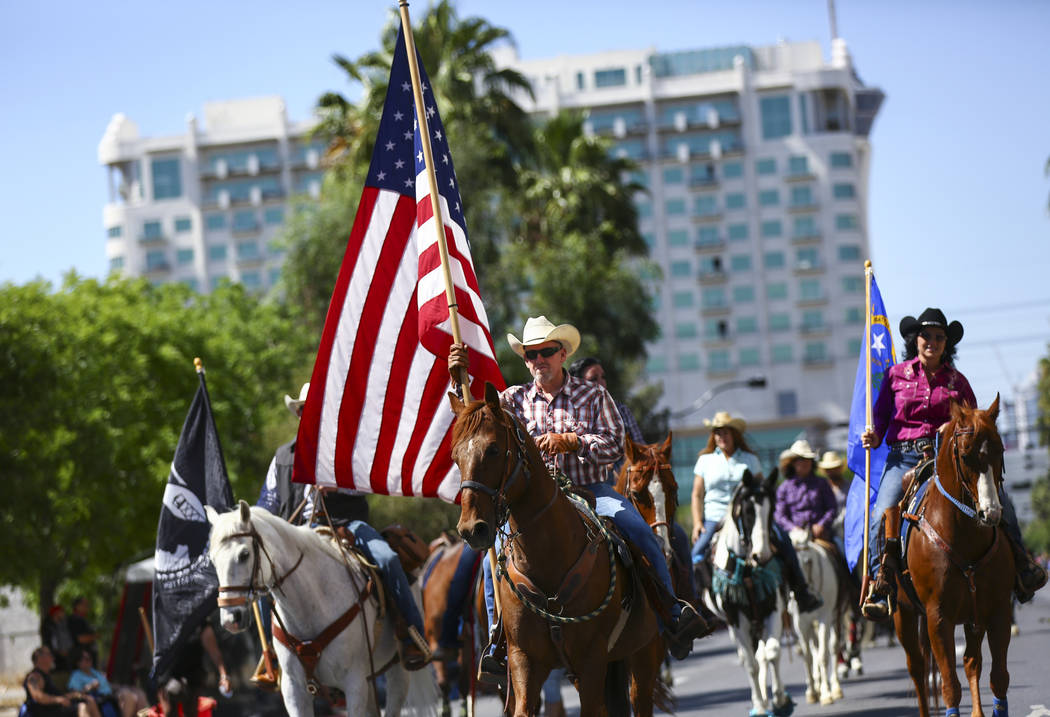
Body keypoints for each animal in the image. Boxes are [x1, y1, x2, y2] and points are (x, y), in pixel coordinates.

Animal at [204, 501, 438, 713]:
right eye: (213, 560)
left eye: (244, 554)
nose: (231, 619)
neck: (310, 606)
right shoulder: (294, 690)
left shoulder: (354, 683)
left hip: (397, 669)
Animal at [451, 386, 663, 717]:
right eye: (455, 456)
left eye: (494, 449)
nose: (472, 529)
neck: (548, 557)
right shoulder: (524, 660)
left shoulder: (591, 660)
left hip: (643, 652)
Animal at [701, 470, 789, 717]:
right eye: (748, 511)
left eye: (772, 509)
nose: (763, 555)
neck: (748, 569)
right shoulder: (736, 619)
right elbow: (751, 664)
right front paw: (759, 705)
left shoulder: (773, 608)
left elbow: (772, 652)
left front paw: (780, 699)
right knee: (748, 658)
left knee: (763, 652)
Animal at [789, 526, 844, 705]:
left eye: (808, 562)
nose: (797, 593)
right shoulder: (800, 623)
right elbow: (808, 657)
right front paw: (812, 692)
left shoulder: (824, 619)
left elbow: (823, 656)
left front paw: (826, 694)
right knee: (814, 649)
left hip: (836, 616)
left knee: (833, 648)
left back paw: (835, 687)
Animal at [890, 398, 1012, 717]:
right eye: (966, 455)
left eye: (1000, 450)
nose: (991, 513)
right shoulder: (938, 617)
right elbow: (949, 686)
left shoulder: (997, 610)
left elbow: (998, 677)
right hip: (903, 614)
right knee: (918, 669)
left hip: (972, 616)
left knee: (971, 662)